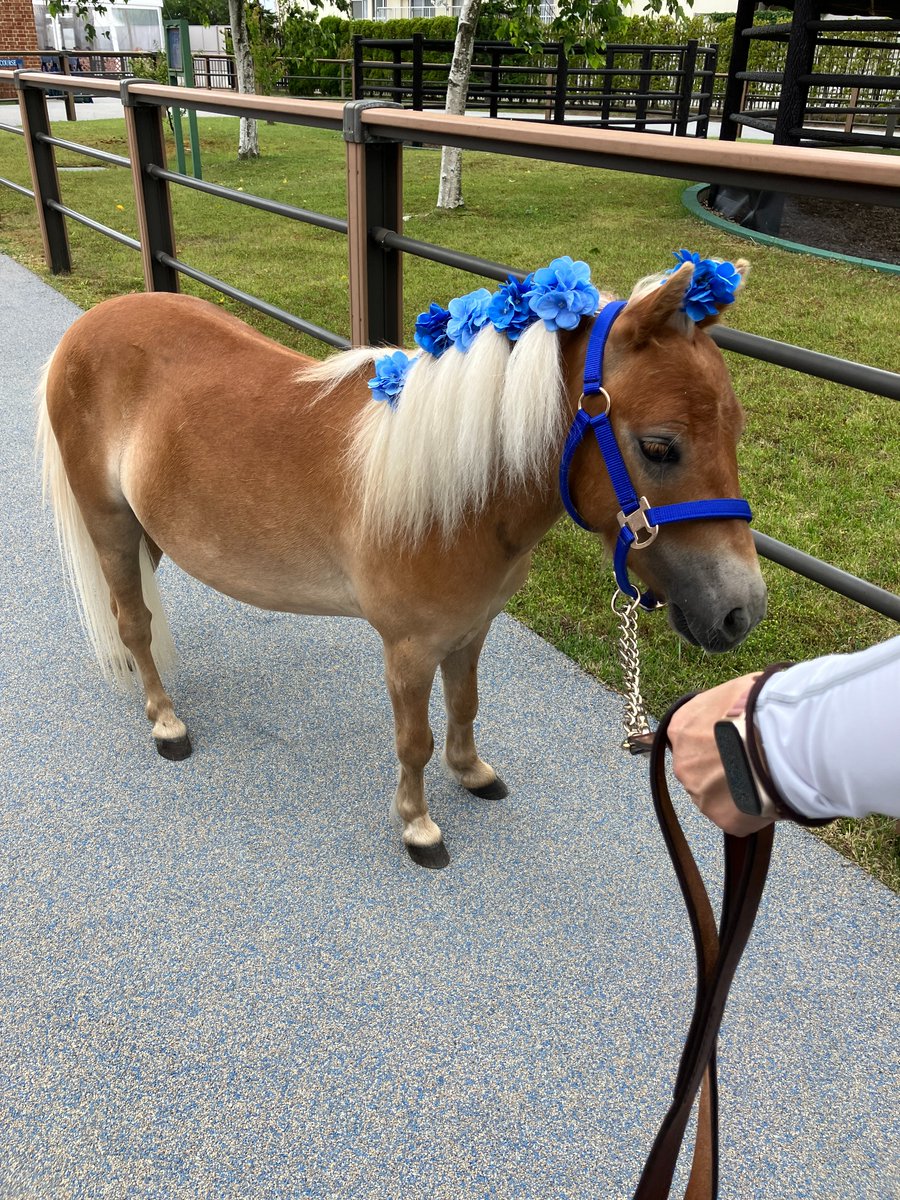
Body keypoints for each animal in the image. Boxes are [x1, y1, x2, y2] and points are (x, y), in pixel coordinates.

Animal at [37, 256, 767, 868]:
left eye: (736, 429)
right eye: (659, 446)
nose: (742, 610)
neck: (459, 496)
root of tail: (88, 327)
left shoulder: (471, 630)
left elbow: (466, 704)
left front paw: (472, 773)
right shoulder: (409, 650)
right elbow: (414, 741)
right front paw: (418, 826)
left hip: (149, 530)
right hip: (109, 525)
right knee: (131, 620)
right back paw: (165, 720)